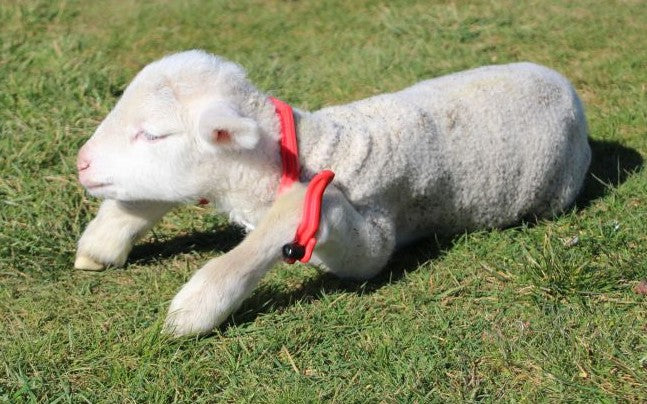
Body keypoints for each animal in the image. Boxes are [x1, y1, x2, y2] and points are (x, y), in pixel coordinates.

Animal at [75, 50, 591, 336]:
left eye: (153, 135)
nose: (80, 162)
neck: (307, 148)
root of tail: (568, 88)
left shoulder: (371, 243)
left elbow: (301, 208)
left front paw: (197, 306)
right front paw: (106, 236)